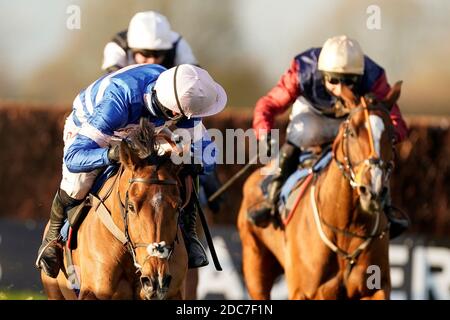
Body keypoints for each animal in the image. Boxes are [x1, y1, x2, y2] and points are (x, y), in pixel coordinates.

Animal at [237, 82, 402, 300]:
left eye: (393, 137)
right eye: (352, 133)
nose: (372, 191)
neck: (345, 225)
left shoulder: (376, 288)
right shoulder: (305, 291)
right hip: (255, 265)